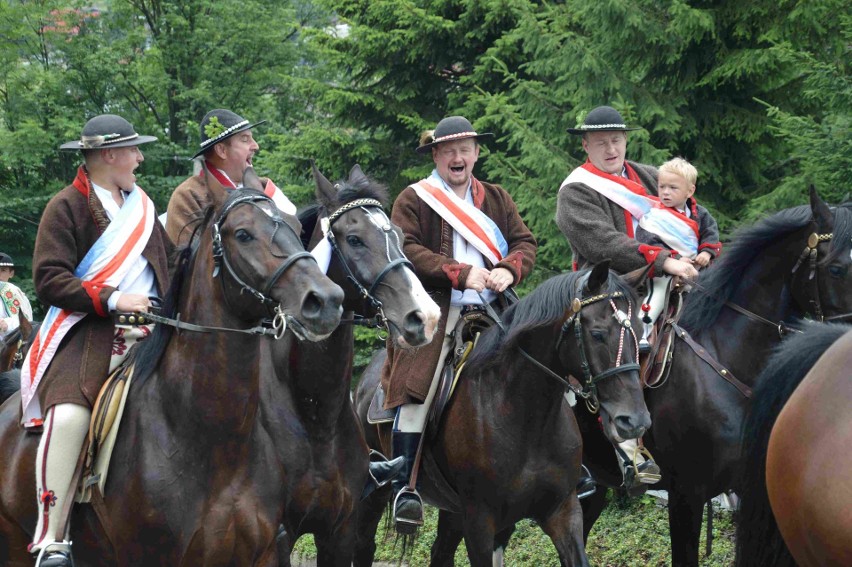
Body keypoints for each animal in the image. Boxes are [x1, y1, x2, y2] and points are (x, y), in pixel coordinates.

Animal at [266, 165, 440, 567]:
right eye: (355, 239)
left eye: (399, 235)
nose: (424, 317)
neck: (315, 415)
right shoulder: (274, 538)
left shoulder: (338, 531)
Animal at [352, 262, 652, 567]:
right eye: (598, 334)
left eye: (640, 332)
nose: (635, 421)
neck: (526, 418)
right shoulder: (480, 522)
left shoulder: (563, 512)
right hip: (374, 494)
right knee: (364, 545)